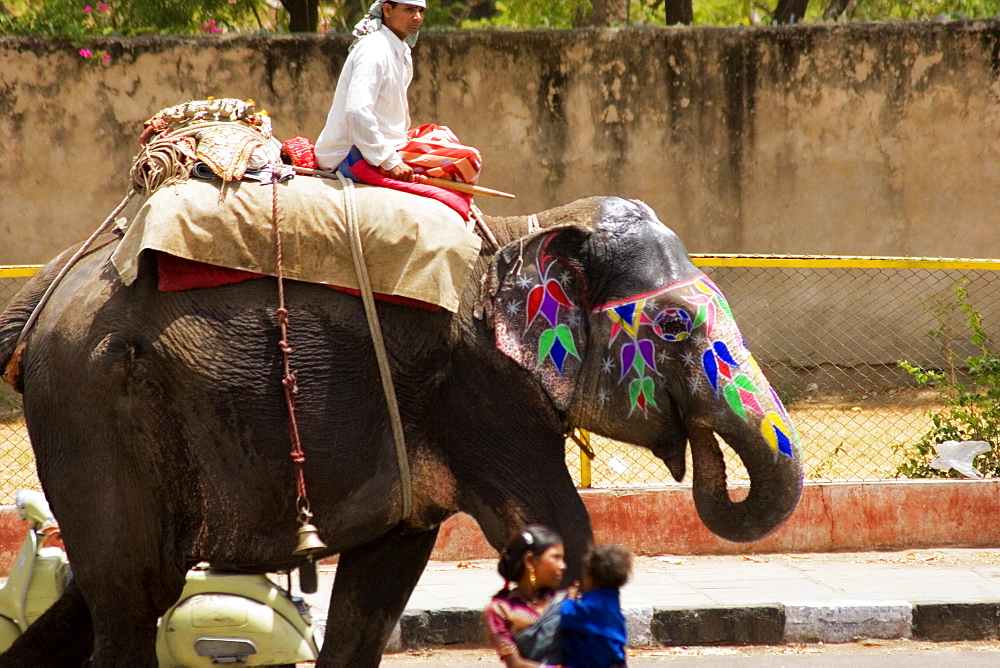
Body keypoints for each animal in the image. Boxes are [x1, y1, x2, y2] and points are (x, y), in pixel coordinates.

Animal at [0, 192, 800, 664]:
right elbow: (562, 536)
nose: (694, 445)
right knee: (136, 592)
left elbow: (382, 582)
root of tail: (44, 293)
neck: (526, 230)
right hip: (96, 408)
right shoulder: (480, 392)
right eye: (674, 325)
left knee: (108, 591)